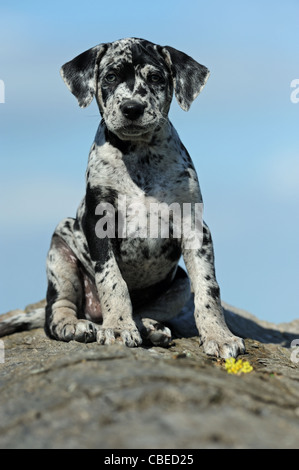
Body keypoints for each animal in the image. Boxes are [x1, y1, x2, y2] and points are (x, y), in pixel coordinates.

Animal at [3, 38, 246, 358]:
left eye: (155, 78)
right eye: (110, 77)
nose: (132, 108)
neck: (139, 155)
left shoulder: (195, 228)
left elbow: (209, 288)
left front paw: (219, 335)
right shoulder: (99, 225)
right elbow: (112, 280)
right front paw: (118, 327)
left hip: (179, 285)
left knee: (147, 310)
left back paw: (150, 328)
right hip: (60, 251)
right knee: (55, 311)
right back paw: (75, 325)